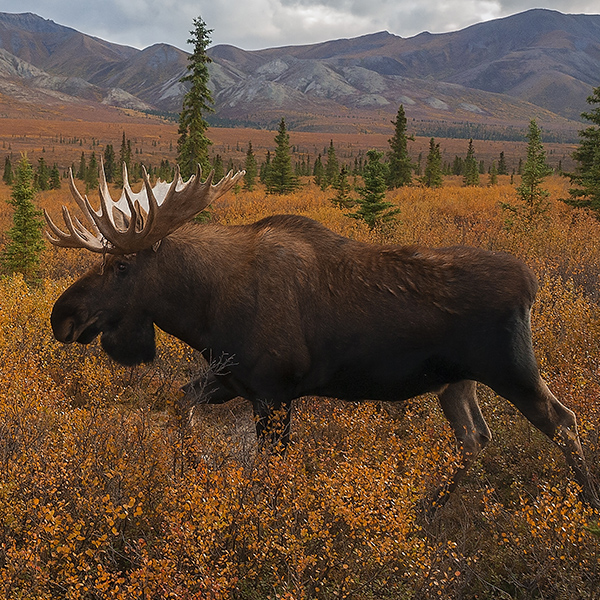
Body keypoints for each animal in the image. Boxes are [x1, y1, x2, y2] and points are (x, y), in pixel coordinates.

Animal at [47, 164, 600, 510]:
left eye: (119, 266)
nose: (61, 317)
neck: (202, 308)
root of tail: (530, 282)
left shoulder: (273, 391)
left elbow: (268, 471)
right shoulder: (231, 378)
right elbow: (180, 405)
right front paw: (197, 465)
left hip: (511, 369)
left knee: (563, 420)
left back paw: (587, 505)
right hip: (455, 382)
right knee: (475, 437)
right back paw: (432, 505)